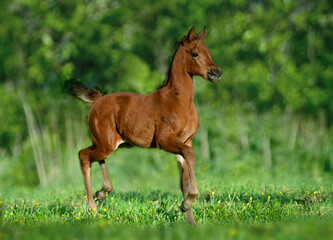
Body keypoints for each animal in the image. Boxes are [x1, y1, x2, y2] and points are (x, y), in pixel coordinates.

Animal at [68, 27, 222, 224]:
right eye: (195, 53)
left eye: (208, 52)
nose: (216, 73)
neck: (179, 101)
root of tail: (98, 100)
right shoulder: (165, 141)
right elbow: (189, 158)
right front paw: (186, 204)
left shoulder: (186, 141)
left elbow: (184, 180)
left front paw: (190, 219)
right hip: (106, 144)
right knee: (83, 155)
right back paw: (92, 207)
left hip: (108, 143)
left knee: (96, 157)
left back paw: (101, 192)